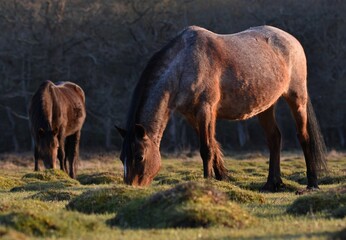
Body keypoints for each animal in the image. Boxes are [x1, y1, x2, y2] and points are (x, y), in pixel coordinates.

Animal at [116, 25, 328, 191]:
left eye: (139, 156)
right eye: (121, 158)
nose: (132, 187)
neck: (184, 64)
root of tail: (292, 40)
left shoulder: (205, 109)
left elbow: (206, 148)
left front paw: (208, 183)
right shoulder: (192, 115)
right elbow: (213, 145)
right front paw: (221, 178)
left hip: (296, 98)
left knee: (304, 137)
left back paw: (312, 184)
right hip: (265, 106)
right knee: (274, 139)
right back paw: (271, 184)